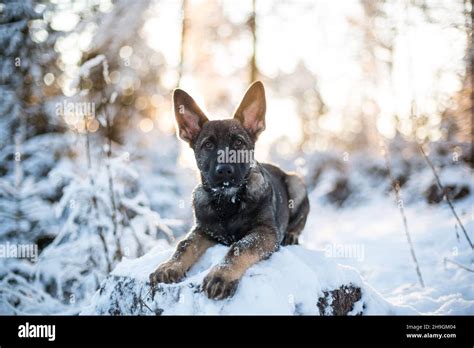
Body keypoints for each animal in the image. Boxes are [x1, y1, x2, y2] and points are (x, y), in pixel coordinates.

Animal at [150, 81, 310, 300]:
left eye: (239, 143)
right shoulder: (203, 230)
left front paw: (221, 276)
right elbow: (184, 245)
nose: (224, 170)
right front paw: (169, 266)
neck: (228, 201)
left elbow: (239, 247)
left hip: (296, 182)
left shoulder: (265, 231)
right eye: (208, 144)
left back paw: (291, 234)